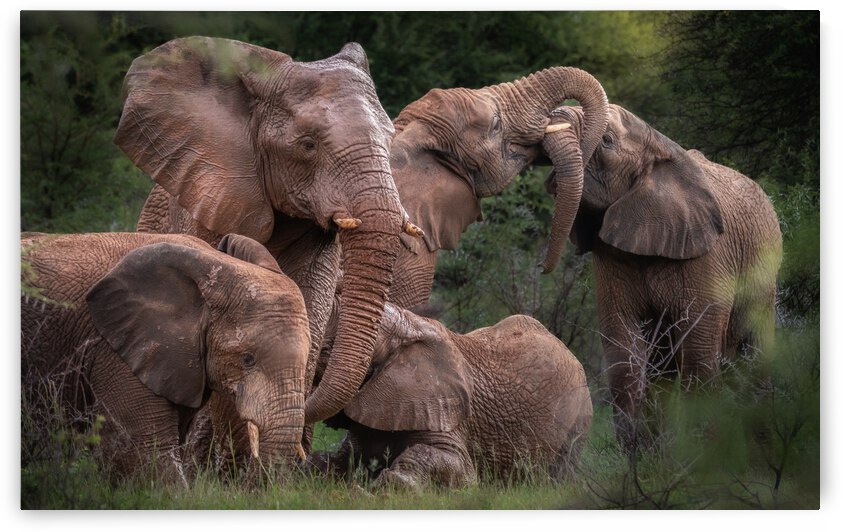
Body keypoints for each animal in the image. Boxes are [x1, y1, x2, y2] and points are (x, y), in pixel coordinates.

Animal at [308, 303, 593, 489]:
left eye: (329, 349)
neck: (409, 329)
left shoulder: (443, 411)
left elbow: (460, 469)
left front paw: (383, 487)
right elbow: (339, 458)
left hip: (580, 415)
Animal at [543, 103, 783, 448]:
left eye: (606, 140)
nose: (543, 267)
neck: (658, 145)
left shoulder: (709, 256)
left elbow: (697, 348)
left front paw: (705, 451)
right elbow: (623, 347)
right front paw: (638, 452)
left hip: (764, 268)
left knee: (754, 350)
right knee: (662, 366)